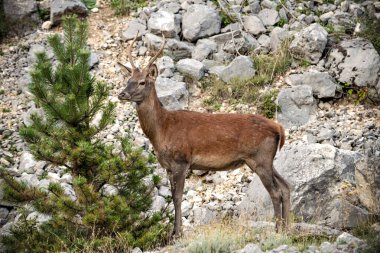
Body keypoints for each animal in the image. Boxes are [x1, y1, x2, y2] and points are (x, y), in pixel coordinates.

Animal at [117, 34, 292, 237]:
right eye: (129, 79)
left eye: (142, 82)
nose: (122, 94)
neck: (161, 131)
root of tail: (279, 128)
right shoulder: (168, 166)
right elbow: (173, 196)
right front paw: (173, 232)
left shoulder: (181, 160)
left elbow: (177, 198)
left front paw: (178, 233)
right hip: (266, 160)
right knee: (286, 186)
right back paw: (287, 228)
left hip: (259, 157)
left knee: (275, 192)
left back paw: (278, 229)